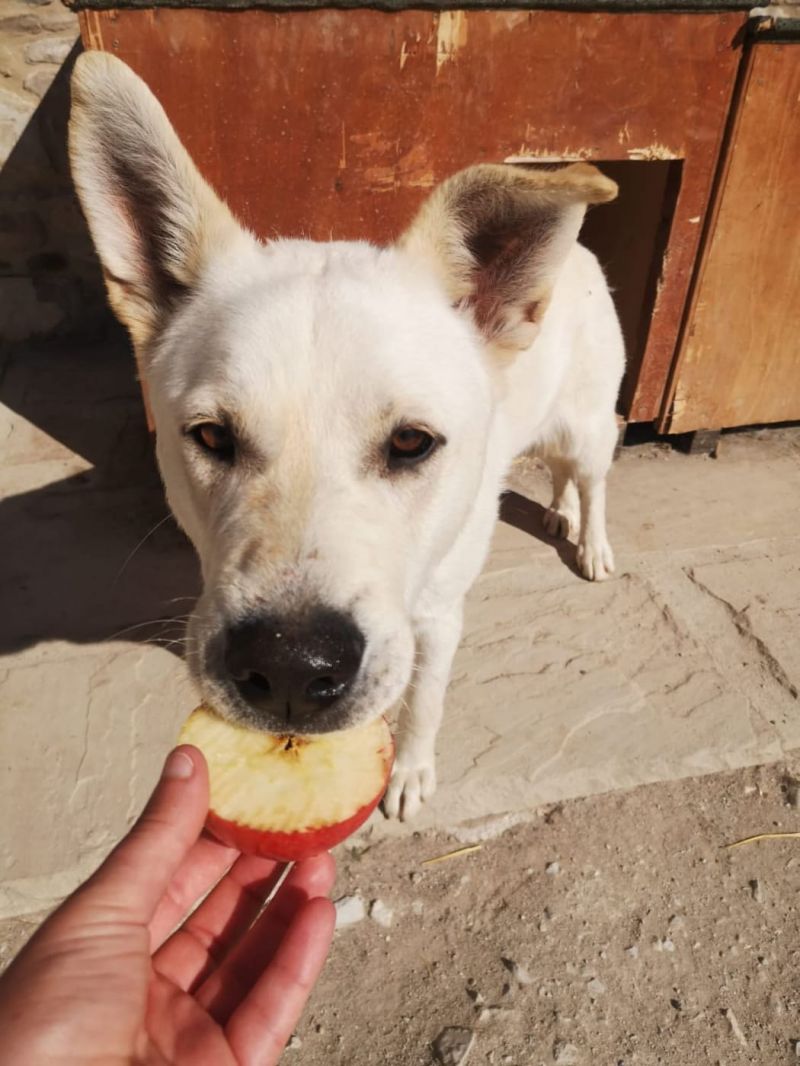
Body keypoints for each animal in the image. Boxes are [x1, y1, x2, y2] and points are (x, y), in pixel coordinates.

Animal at [70, 51, 627, 814]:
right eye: (212, 437)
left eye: (412, 443)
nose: (289, 671)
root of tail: (580, 252)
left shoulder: (438, 616)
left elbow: (423, 703)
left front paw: (411, 774)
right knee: (564, 477)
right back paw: (559, 513)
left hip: (588, 427)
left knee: (595, 478)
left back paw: (592, 543)